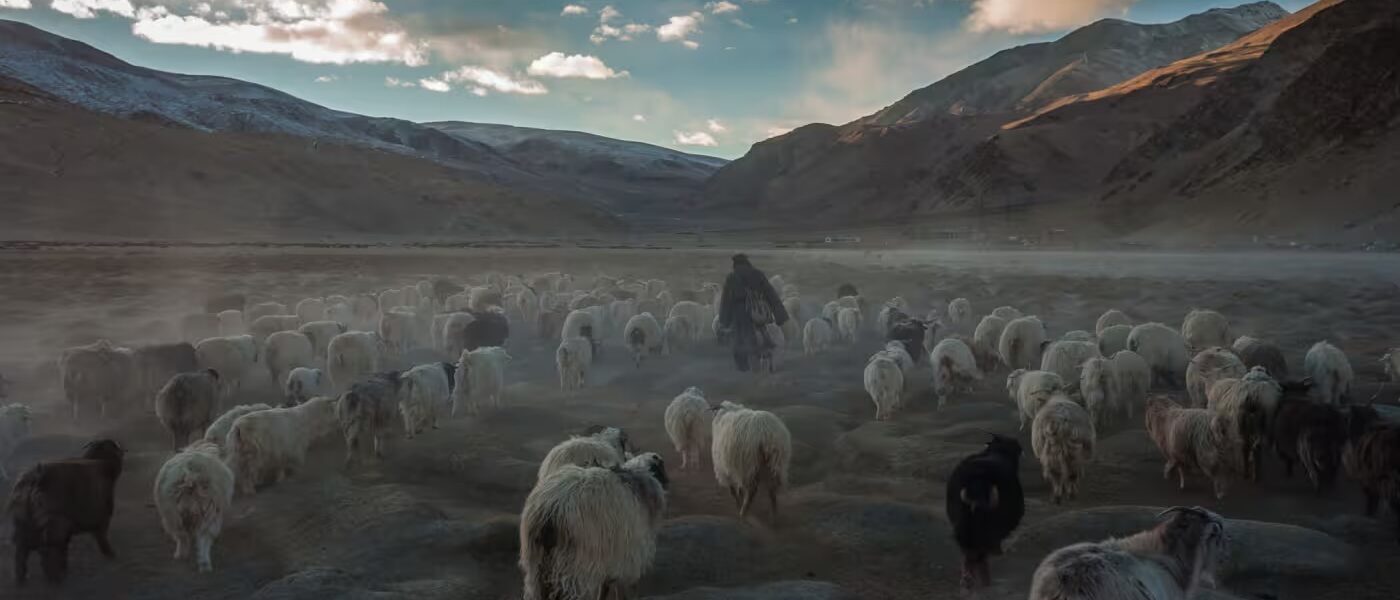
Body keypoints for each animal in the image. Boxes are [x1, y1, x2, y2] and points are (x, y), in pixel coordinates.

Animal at [8, 436, 126, 581]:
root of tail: (35, 479)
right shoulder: (101, 518)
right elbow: (101, 538)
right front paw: (111, 554)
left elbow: (65, 548)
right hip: (53, 526)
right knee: (47, 552)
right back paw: (55, 578)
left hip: (23, 524)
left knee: (21, 553)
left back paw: (22, 578)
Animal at [152, 439, 232, 570]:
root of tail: (191, 475)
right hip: (208, 512)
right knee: (202, 538)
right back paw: (203, 562)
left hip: (174, 515)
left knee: (183, 536)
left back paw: (185, 556)